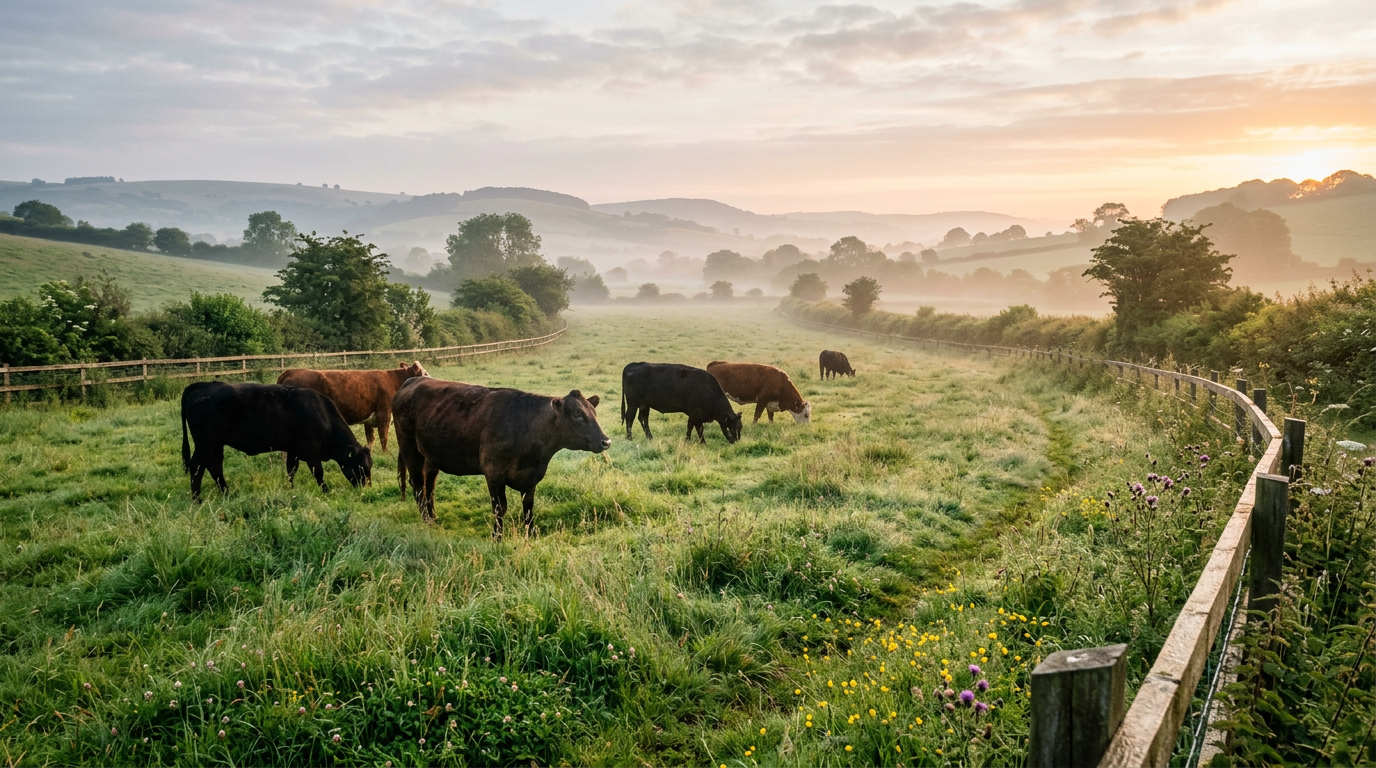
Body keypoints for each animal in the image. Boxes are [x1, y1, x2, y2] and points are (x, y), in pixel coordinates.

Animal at [180, 382, 372, 500]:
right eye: (361, 467)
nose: (367, 488)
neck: (323, 416)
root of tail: (203, 385)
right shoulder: (311, 453)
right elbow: (318, 473)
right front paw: (326, 491)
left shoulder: (293, 450)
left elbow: (291, 470)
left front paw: (291, 488)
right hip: (206, 443)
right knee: (198, 467)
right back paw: (197, 499)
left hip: (214, 445)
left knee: (214, 467)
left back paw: (225, 493)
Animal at [277, 361, 429, 453]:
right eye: (425, 373)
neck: (393, 381)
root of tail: (291, 371)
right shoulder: (384, 413)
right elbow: (383, 437)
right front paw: (386, 453)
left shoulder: (369, 419)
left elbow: (370, 438)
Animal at [391, 378, 611, 538]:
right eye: (578, 416)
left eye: (594, 413)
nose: (606, 441)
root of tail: (413, 380)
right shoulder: (494, 474)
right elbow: (499, 508)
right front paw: (497, 537)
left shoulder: (531, 478)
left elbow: (528, 507)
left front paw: (530, 534)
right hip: (410, 449)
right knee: (418, 484)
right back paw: (426, 521)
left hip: (432, 456)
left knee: (430, 485)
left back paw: (433, 517)